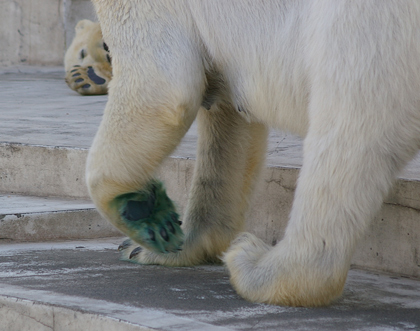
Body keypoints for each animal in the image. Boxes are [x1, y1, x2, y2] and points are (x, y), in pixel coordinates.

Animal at [87, 0, 420, 308]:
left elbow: (160, 90)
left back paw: (259, 267)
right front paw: (172, 242)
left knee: (352, 125)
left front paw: (144, 216)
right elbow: (230, 122)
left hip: (375, 24)